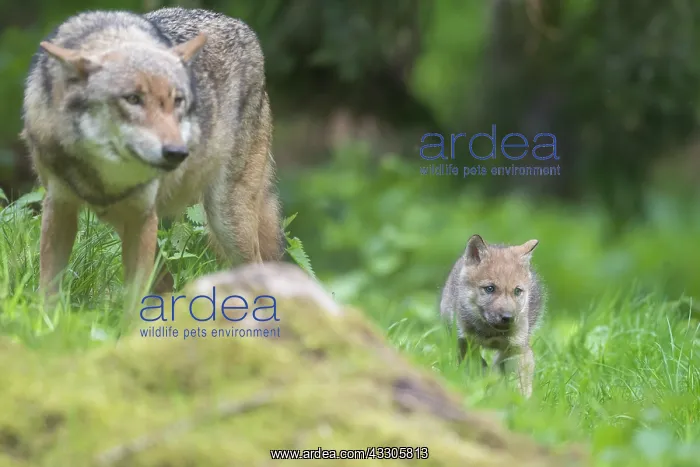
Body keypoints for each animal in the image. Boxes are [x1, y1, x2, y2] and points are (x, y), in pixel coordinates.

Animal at [21, 7, 285, 298]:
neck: (105, 177)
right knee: (167, 282)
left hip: (226, 221)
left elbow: (135, 296)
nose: (178, 152)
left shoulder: (143, 215)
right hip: (122, 220)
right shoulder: (59, 206)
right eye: (132, 99)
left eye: (178, 101)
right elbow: (48, 289)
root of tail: (241, 26)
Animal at [439, 234, 545, 398]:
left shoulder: (519, 348)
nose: (508, 317)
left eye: (517, 291)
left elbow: (523, 385)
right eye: (490, 288)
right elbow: (477, 366)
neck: (491, 334)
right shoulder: (466, 342)